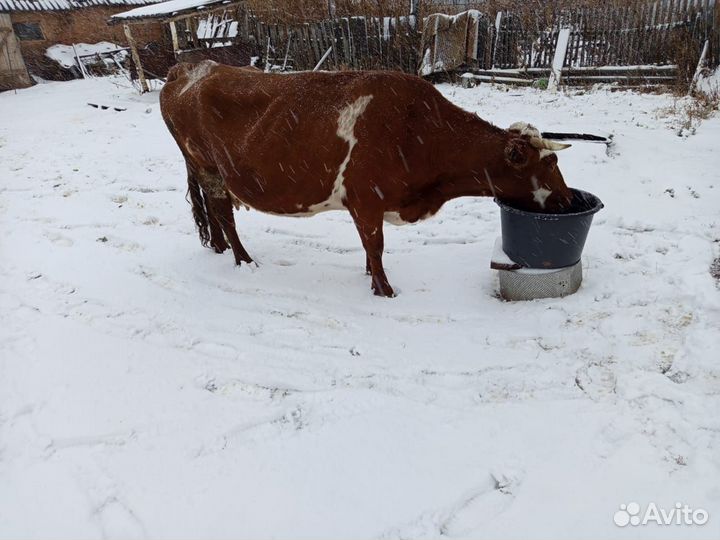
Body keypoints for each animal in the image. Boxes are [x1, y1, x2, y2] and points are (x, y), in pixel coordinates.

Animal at [160, 61, 572, 298]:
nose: (568, 200)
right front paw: (384, 289)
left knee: (214, 211)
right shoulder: (366, 200)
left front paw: (370, 277)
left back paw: (219, 248)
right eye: (549, 164)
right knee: (224, 214)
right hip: (210, 167)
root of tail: (190, 68)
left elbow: (368, 249)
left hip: (203, 169)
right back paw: (244, 260)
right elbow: (375, 247)